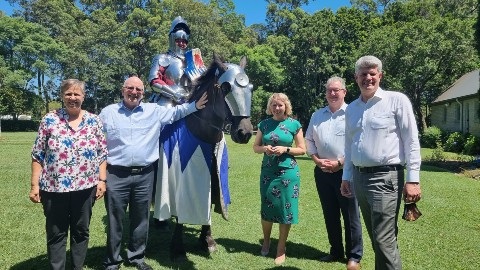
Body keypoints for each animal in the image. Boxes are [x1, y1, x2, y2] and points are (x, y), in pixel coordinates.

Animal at [153, 53, 255, 260]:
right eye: (226, 88)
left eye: (250, 87)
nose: (245, 133)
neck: (203, 132)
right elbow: (181, 212)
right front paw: (177, 247)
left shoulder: (215, 177)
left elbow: (208, 205)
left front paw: (207, 239)